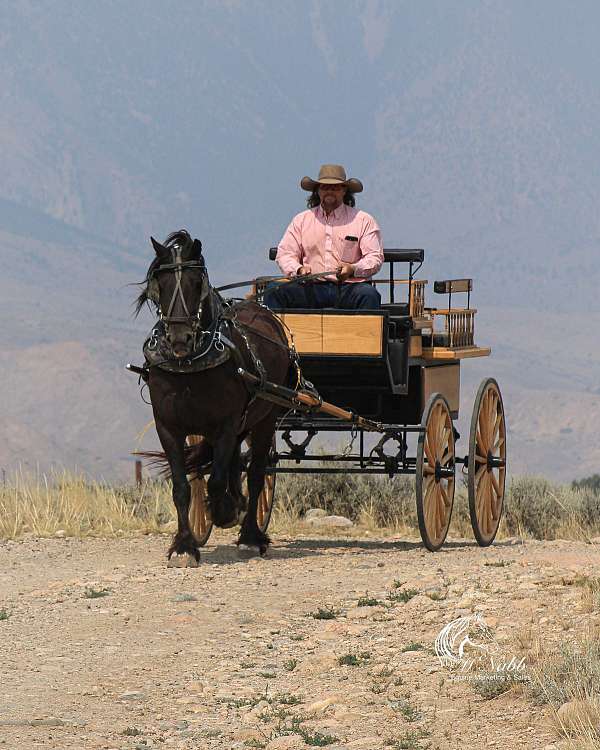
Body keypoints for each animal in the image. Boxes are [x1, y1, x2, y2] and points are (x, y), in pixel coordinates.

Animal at [137, 232, 296, 568]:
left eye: (196, 282)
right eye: (160, 284)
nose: (179, 339)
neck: (191, 363)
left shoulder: (225, 424)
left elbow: (217, 479)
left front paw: (224, 512)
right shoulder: (168, 427)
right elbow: (183, 487)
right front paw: (184, 546)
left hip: (265, 417)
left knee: (257, 472)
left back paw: (250, 536)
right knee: (236, 462)